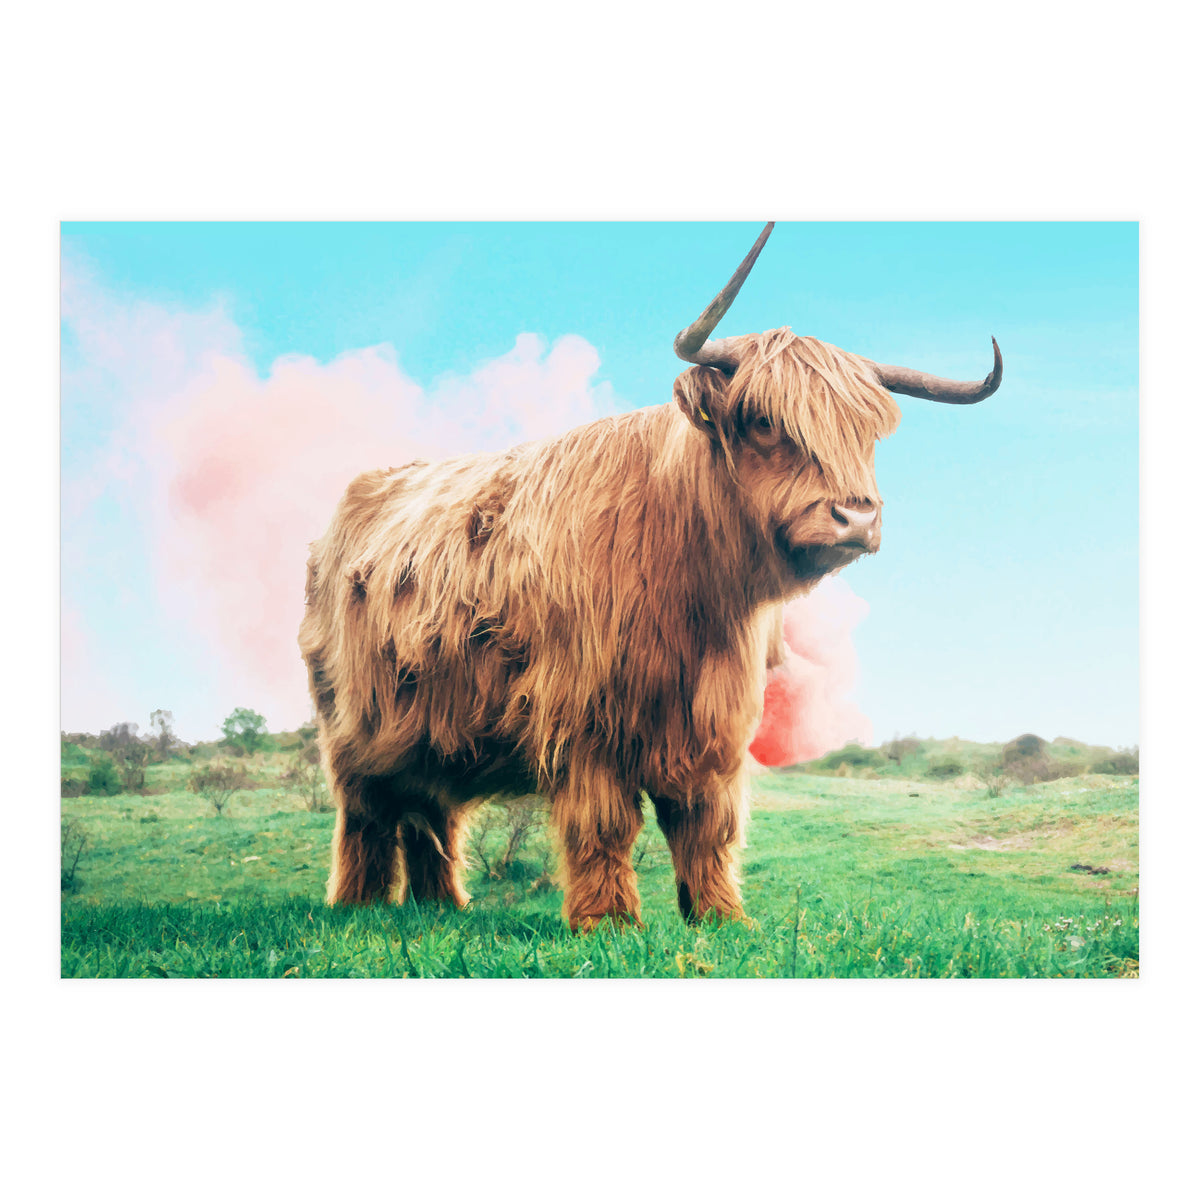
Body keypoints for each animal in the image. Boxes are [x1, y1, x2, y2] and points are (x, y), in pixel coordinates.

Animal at [298, 223, 1001, 930]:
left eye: (867, 433)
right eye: (765, 420)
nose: (857, 517)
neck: (694, 592)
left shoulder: (714, 721)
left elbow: (706, 824)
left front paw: (720, 916)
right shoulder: (584, 716)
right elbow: (604, 823)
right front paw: (608, 922)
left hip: (430, 725)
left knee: (430, 810)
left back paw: (441, 906)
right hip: (353, 725)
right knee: (366, 813)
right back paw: (359, 906)